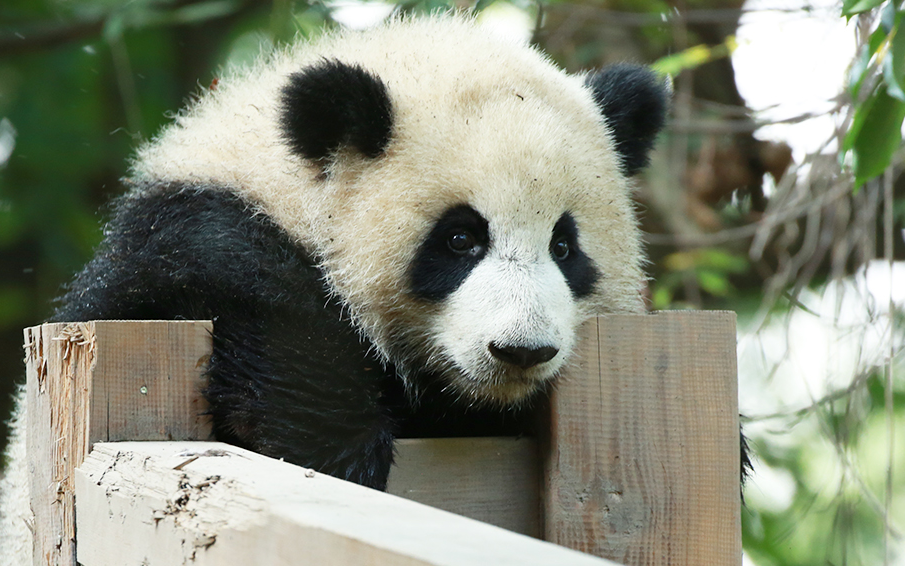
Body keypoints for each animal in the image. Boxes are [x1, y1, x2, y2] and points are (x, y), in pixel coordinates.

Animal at [0, 14, 664, 564]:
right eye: (460, 239)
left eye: (564, 247)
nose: (521, 350)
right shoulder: (186, 242)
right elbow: (253, 319)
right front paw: (336, 451)